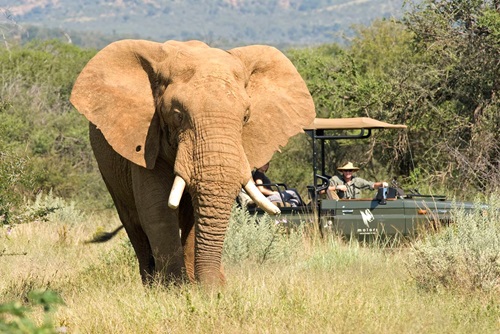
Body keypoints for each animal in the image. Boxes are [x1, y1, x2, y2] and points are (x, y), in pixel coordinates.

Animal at [70, 38, 314, 284]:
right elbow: (158, 210)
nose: (215, 288)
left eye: (246, 117)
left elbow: (196, 216)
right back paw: (152, 282)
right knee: (134, 224)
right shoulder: (147, 142)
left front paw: (198, 287)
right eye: (178, 115)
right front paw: (173, 288)